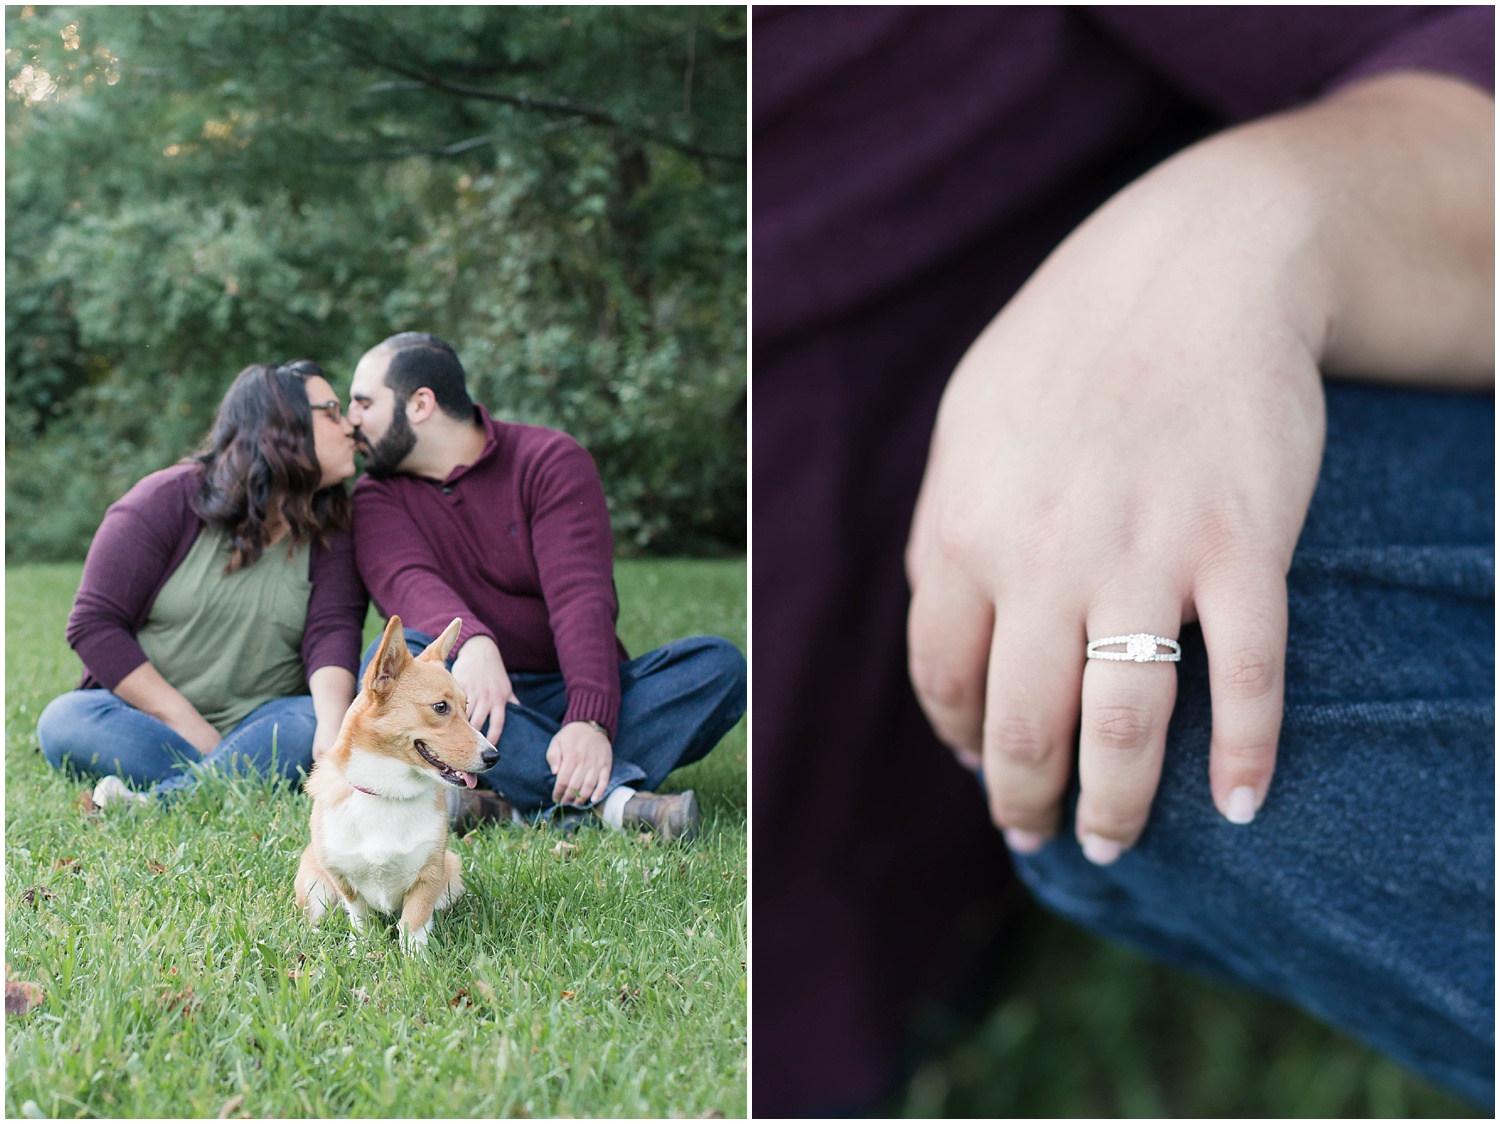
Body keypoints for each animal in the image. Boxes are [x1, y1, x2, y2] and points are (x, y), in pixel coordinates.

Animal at [295, 609, 501, 954]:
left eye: (467, 708)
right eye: (440, 707)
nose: (493, 756)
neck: (387, 792)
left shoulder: (428, 874)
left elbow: (413, 924)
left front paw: (416, 960)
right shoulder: (342, 877)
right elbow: (360, 917)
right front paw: (361, 950)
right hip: (314, 883)